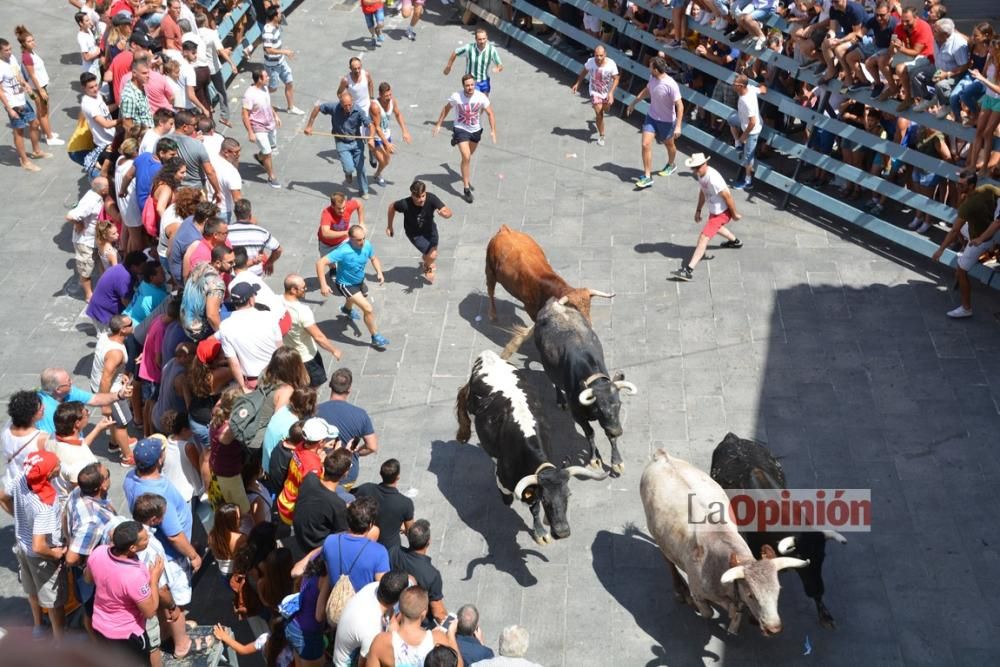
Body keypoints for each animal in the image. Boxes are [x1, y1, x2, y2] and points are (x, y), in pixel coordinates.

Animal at [456, 350, 608, 544]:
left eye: (568, 495)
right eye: (546, 500)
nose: (562, 532)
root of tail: (487, 355)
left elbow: (533, 507)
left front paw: (541, 530)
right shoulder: (507, 481)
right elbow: (523, 501)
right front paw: (541, 531)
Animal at [532, 296, 632, 474]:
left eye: (619, 405)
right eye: (599, 408)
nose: (617, 431)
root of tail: (554, 304)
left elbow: (609, 436)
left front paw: (616, 461)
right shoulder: (578, 415)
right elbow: (590, 433)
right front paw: (594, 458)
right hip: (548, 366)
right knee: (555, 382)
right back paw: (561, 400)